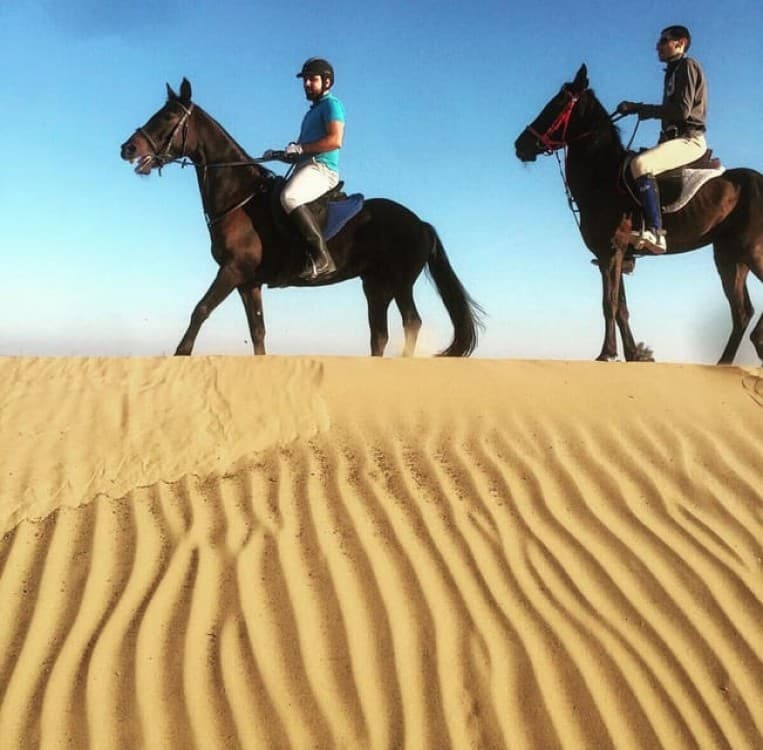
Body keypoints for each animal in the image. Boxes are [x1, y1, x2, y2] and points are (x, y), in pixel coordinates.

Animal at [120, 78, 483, 357]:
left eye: (168, 116)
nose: (127, 148)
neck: (238, 197)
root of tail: (420, 223)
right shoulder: (249, 282)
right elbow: (258, 332)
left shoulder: (233, 270)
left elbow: (201, 310)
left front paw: (181, 354)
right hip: (375, 284)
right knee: (379, 334)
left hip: (399, 281)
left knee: (411, 323)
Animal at [515, 64, 763, 365]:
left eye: (559, 102)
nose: (521, 145)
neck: (601, 176)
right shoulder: (613, 254)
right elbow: (621, 307)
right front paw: (632, 354)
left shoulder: (611, 251)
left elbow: (609, 304)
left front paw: (607, 353)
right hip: (730, 257)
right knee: (741, 312)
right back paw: (725, 363)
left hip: (752, 251)